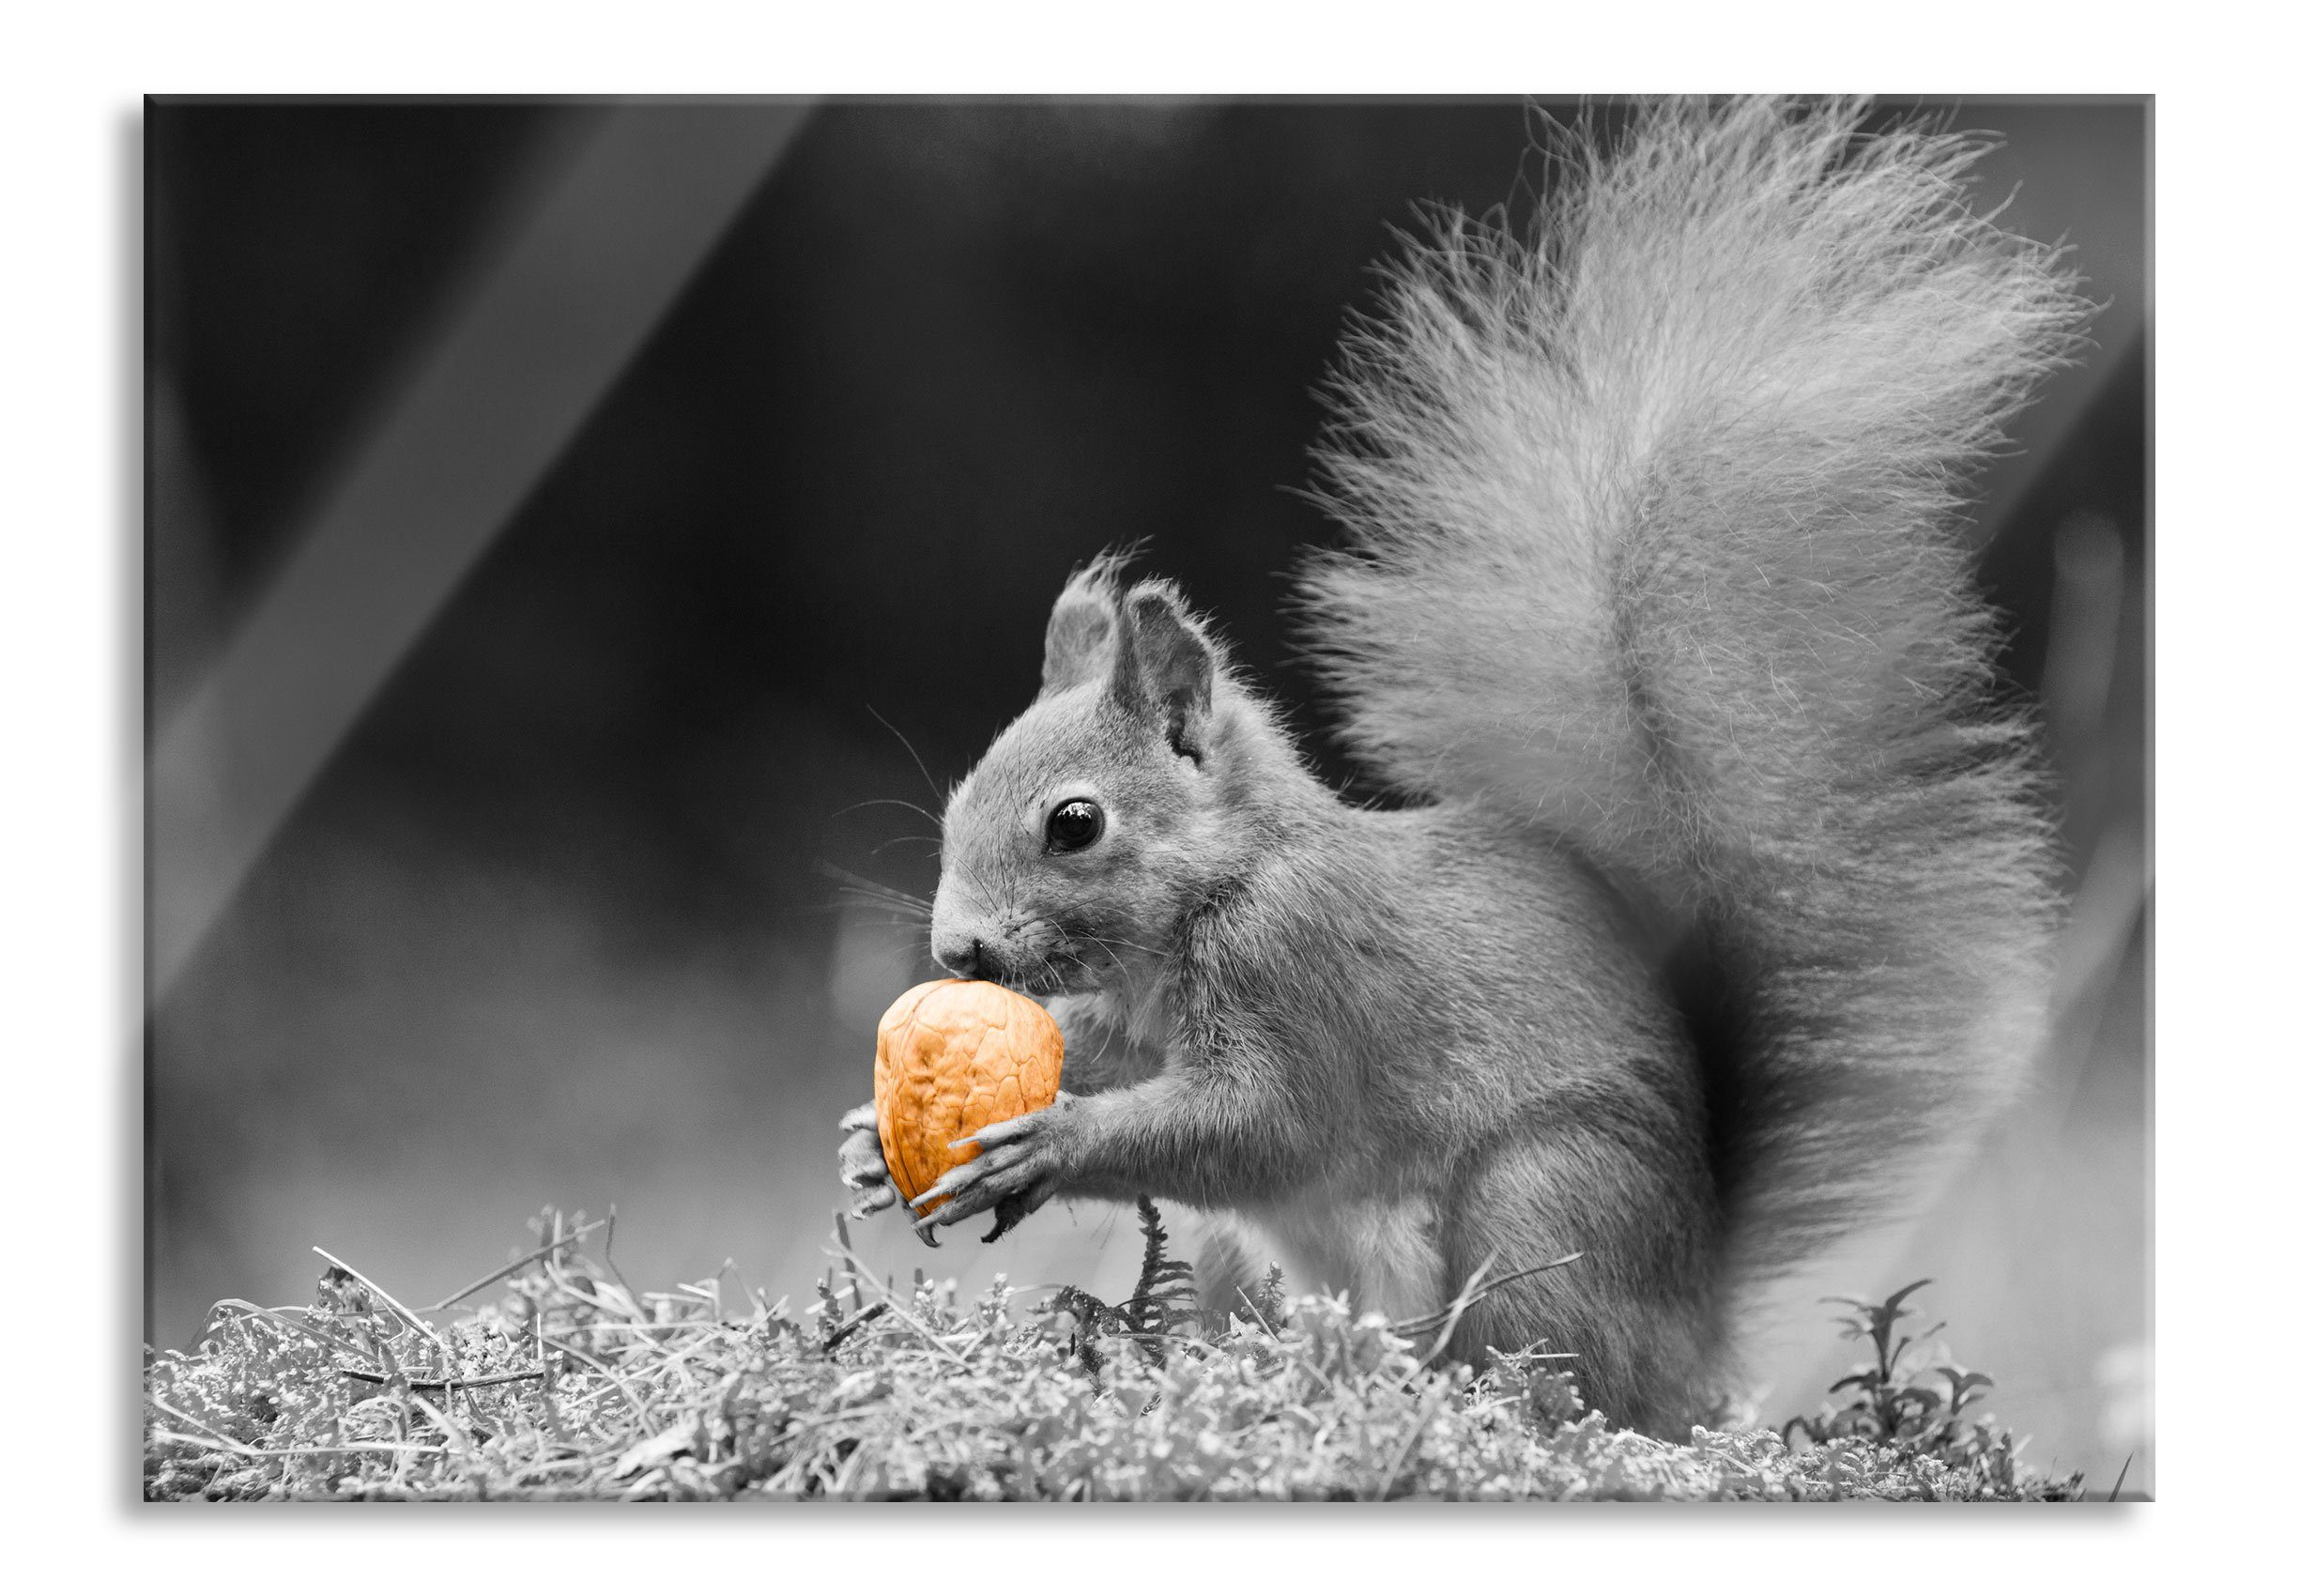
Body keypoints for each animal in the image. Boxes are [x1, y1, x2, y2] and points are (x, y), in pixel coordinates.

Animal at [836, 96, 2089, 1434]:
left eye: (1074, 824)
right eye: (957, 802)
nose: (958, 950)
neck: (1225, 883)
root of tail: (1693, 1326)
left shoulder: (1304, 974)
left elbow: (1259, 1126)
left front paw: (1049, 1141)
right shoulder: (1137, 1017)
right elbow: (1117, 1061)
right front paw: (872, 1139)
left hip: (1542, 1202)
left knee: (1548, 1371)